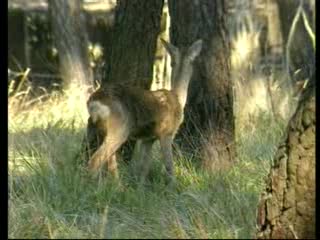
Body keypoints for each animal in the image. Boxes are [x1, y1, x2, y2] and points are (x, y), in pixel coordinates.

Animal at [86, 38, 202, 183]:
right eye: (193, 61)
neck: (177, 98)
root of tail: (94, 101)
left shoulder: (148, 138)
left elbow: (144, 168)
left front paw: (141, 185)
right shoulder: (167, 132)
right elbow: (169, 166)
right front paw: (173, 186)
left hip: (99, 128)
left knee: (110, 164)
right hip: (120, 127)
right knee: (95, 161)